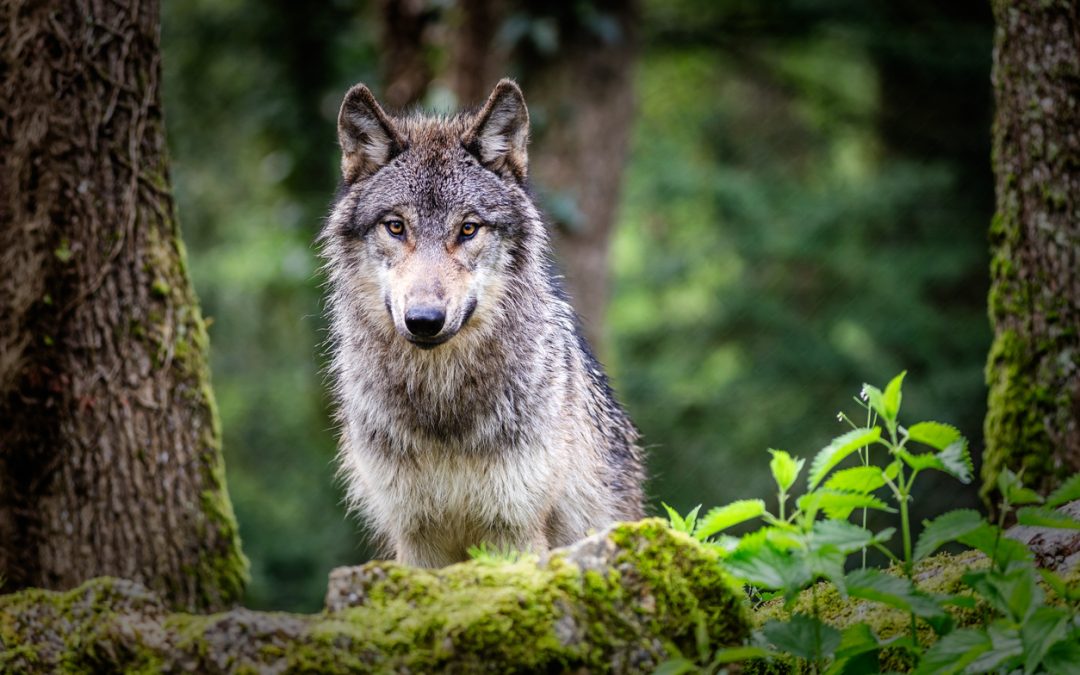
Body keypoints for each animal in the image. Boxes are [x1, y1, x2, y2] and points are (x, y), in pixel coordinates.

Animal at [320, 79, 645, 567]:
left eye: (468, 229)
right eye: (396, 227)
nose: (424, 321)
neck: (442, 406)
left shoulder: (513, 530)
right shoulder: (415, 537)